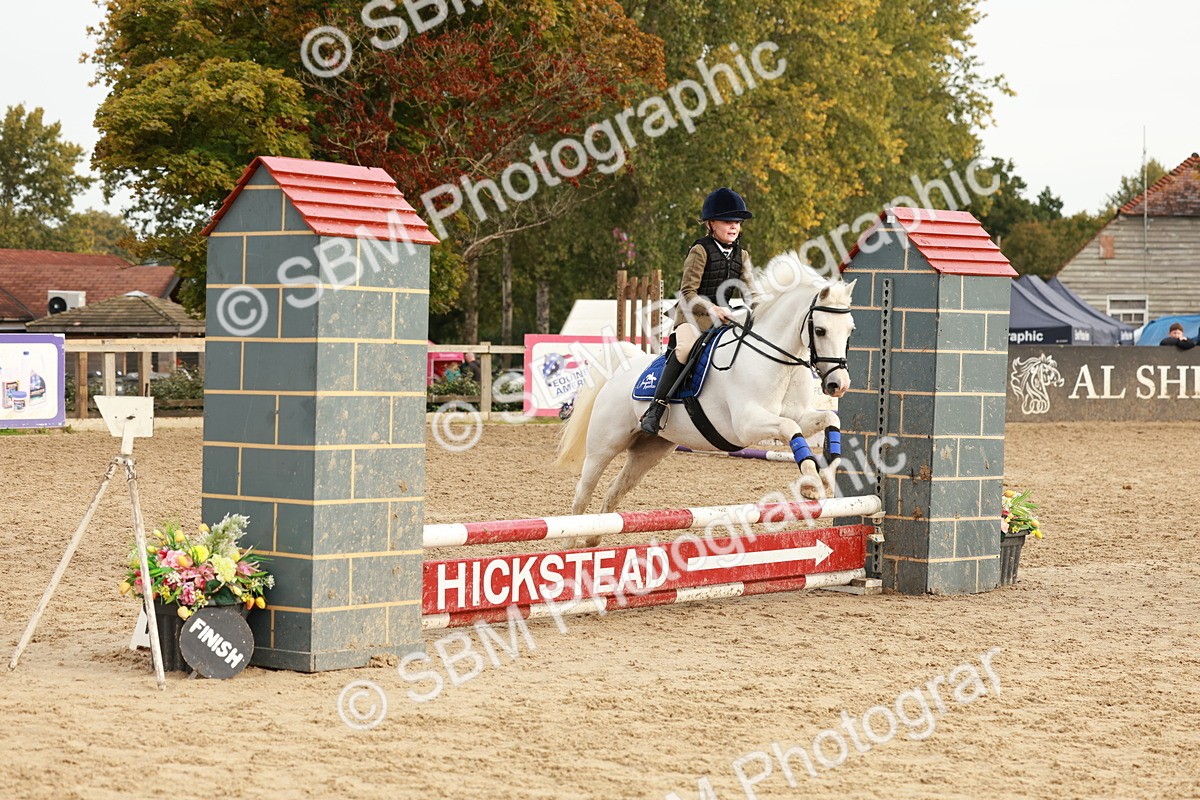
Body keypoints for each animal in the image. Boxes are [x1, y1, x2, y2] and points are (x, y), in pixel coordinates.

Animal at [554, 259, 857, 546]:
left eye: (850, 330)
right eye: (820, 330)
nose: (838, 385)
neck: (777, 360)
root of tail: (622, 369)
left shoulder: (800, 415)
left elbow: (829, 419)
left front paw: (827, 474)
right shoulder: (747, 424)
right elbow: (789, 427)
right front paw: (810, 482)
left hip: (650, 451)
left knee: (616, 489)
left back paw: (594, 538)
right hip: (604, 445)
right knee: (583, 492)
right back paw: (571, 542)